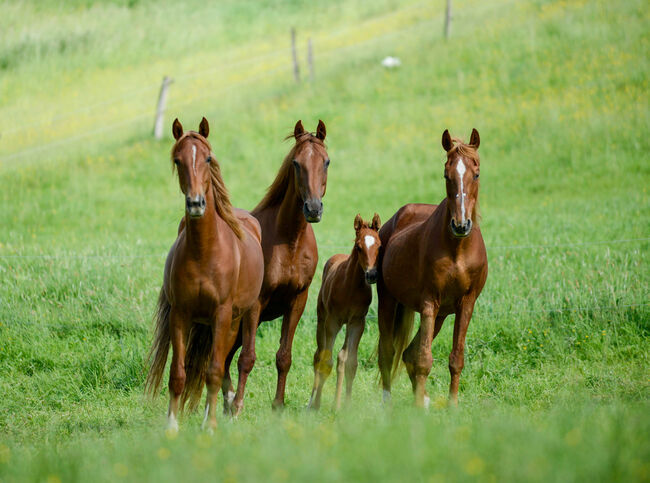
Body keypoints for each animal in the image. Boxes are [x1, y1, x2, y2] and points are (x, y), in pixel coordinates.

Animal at [146, 117, 264, 432]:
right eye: (178, 160)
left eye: (208, 158)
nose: (196, 204)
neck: (205, 251)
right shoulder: (180, 314)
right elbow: (178, 374)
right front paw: (171, 426)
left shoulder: (221, 314)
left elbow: (213, 371)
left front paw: (209, 427)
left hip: (244, 315)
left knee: (234, 361)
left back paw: (230, 411)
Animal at [220, 119, 330, 410]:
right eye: (296, 163)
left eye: (326, 162)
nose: (313, 209)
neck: (289, 241)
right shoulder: (256, 305)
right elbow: (247, 358)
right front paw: (238, 407)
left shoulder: (297, 300)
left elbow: (284, 356)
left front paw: (278, 406)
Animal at [308, 215, 382, 412]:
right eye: (358, 246)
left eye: (379, 245)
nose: (372, 275)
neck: (350, 287)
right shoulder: (333, 321)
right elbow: (326, 360)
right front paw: (318, 404)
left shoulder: (357, 322)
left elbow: (349, 362)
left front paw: (344, 406)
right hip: (322, 319)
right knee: (318, 355)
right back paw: (312, 401)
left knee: (341, 357)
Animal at [374, 130, 486, 408]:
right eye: (447, 175)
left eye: (476, 174)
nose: (460, 225)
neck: (458, 249)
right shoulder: (428, 303)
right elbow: (424, 359)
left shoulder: (466, 304)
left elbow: (456, 359)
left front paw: (452, 406)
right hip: (389, 301)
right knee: (389, 352)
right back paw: (388, 402)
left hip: (442, 315)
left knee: (408, 352)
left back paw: (423, 398)